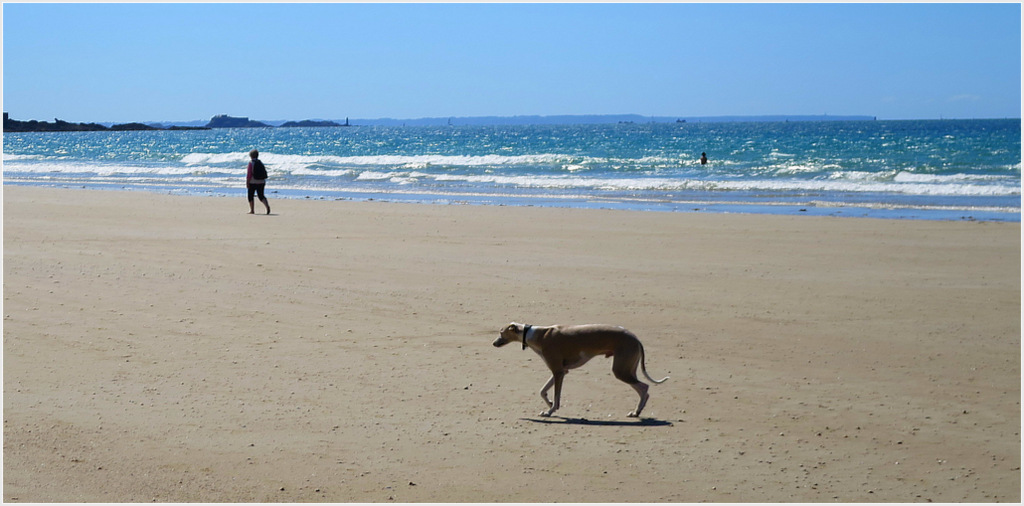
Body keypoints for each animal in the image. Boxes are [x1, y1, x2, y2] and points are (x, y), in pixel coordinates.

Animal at [491, 321, 667, 417]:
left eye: (501, 332)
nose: (493, 343)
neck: (536, 334)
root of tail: (635, 338)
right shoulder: (561, 371)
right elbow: (543, 391)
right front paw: (549, 405)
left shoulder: (558, 372)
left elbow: (556, 395)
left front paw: (550, 411)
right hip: (627, 368)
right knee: (641, 388)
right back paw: (636, 412)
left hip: (621, 370)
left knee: (644, 387)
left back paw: (637, 411)